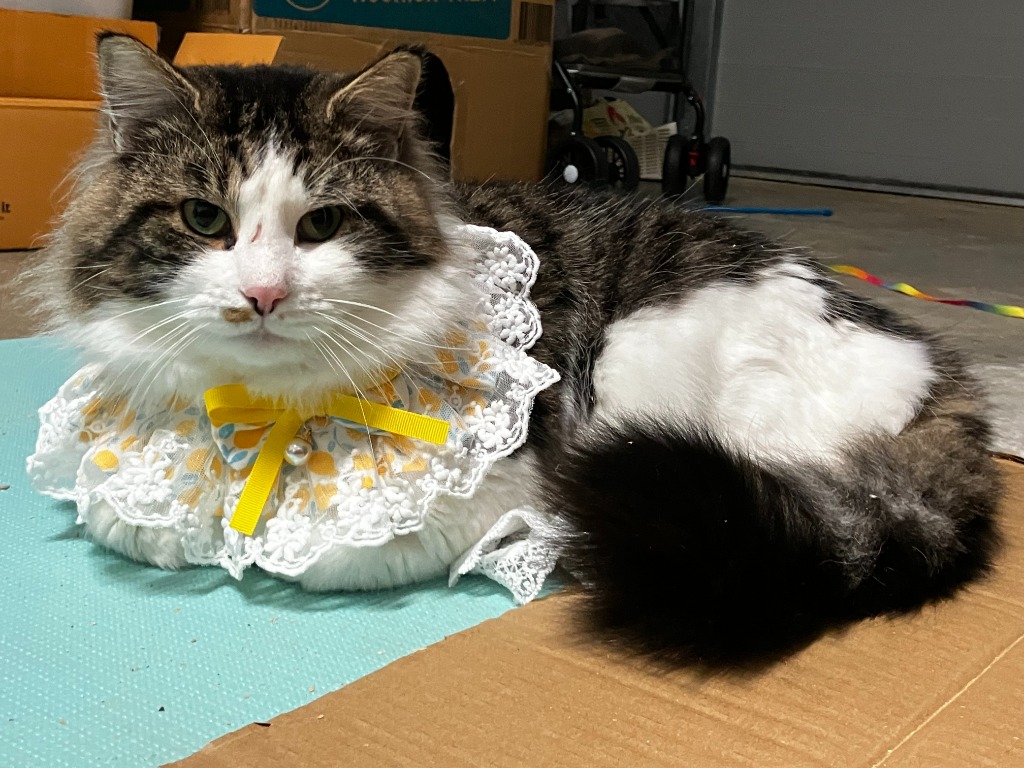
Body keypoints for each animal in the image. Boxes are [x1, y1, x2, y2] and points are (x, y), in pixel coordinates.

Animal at [25, 33, 1001, 662]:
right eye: (204, 220)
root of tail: (941, 375)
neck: (264, 411)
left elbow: (309, 551)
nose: (264, 295)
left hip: (642, 378)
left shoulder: (488, 485)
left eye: (324, 226)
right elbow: (127, 518)